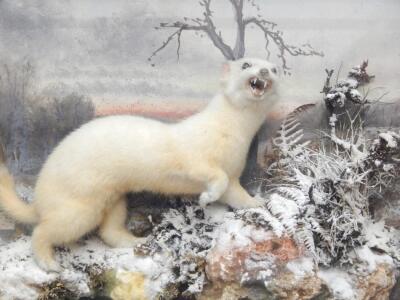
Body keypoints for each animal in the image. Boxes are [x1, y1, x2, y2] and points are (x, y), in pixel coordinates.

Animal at [0, 57, 280, 270]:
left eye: (274, 68)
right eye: (246, 64)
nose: (264, 71)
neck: (234, 134)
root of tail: (39, 196)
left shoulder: (234, 176)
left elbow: (236, 195)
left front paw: (258, 201)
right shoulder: (193, 157)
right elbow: (211, 175)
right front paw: (205, 197)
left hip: (114, 200)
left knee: (109, 231)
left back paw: (133, 241)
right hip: (79, 206)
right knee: (42, 230)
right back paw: (49, 263)